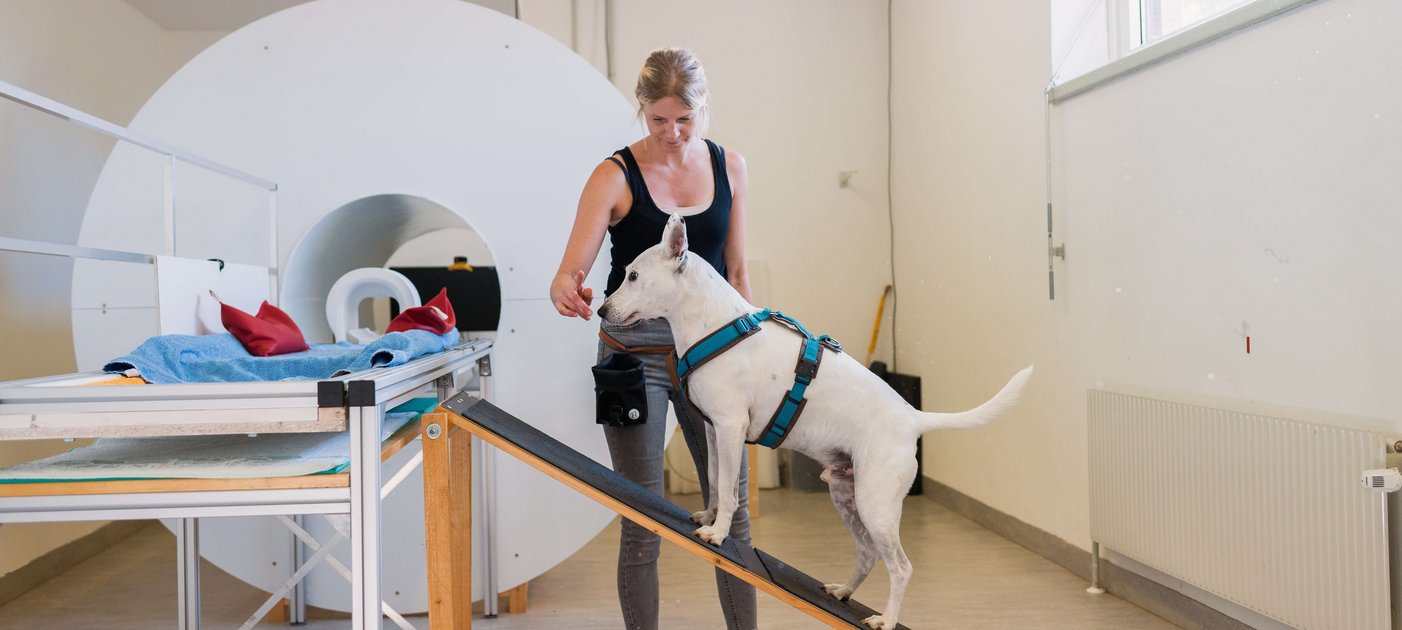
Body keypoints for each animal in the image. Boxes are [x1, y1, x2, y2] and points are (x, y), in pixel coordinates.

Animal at [597, 216, 1037, 628]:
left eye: (633, 276)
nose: (600, 309)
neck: (712, 323)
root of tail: (913, 418)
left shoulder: (730, 427)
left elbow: (729, 490)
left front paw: (718, 533)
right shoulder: (712, 428)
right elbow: (715, 480)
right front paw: (708, 516)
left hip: (876, 505)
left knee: (901, 566)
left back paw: (886, 619)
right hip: (847, 496)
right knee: (868, 554)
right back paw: (843, 592)